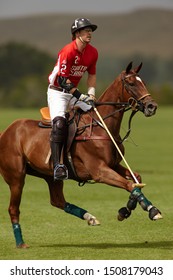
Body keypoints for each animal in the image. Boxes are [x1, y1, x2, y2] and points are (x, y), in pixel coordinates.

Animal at [0, 62, 162, 248]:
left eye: (143, 82)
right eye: (131, 83)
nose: (152, 106)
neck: (102, 126)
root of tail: (4, 132)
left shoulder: (113, 165)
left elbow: (137, 179)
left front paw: (126, 210)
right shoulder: (99, 171)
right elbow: (130, 185)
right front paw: (152, 210)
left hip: (49, 176)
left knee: (57, 201)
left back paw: (90, 217)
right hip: (16, 177)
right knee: (13, 208)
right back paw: (21, 243)